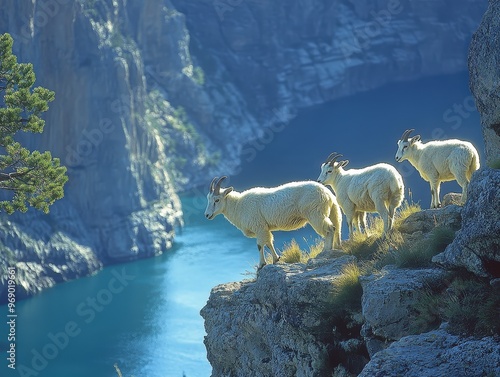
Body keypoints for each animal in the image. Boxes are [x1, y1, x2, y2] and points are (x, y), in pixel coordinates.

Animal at [205, 176, 342, 268]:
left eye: (217, 200)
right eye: (208, 199)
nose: (207, 215)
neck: (238, 206)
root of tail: (328, 193)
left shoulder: (259, 226)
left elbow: (260, 245)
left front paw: (261, 264)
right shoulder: (264, 228)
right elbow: (269, 242)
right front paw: (276, 259)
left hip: (315, 214)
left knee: (329, 229)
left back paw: (326, 250)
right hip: (328, 212)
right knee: (335, 228)